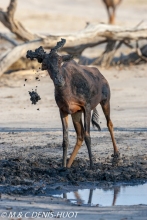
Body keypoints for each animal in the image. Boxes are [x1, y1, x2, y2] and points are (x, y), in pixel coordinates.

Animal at [26, 38, 119, 168]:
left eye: (60, 61)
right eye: (46, 64)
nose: (59, 81)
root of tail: (100, 74)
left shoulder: (87, 107)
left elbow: (88, 135)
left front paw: (92, 165)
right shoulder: (63, 111)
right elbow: (65, 140)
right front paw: (63, 166)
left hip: (105, 101)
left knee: (109, 124)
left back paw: (116, 155)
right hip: (76, 114)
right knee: (79, 136)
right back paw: (69, 165)